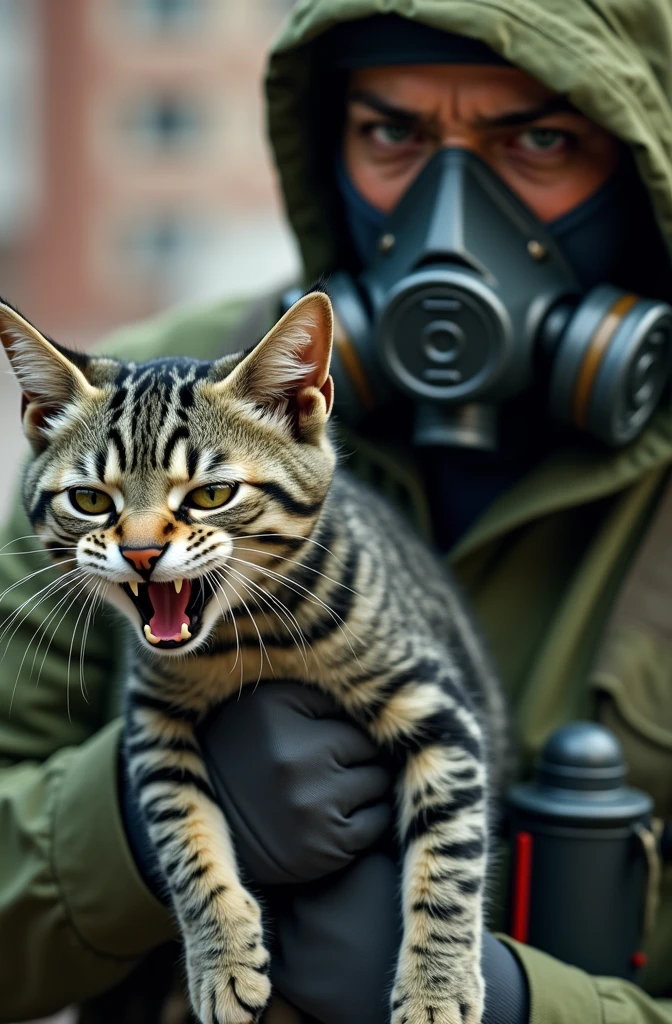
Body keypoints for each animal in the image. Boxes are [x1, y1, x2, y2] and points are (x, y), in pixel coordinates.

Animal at [0, 292, 504, 1019]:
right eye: (91, 500)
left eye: (211, 494)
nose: (142, 553)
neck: (246, 638)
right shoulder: (151, 728)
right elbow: (183, 839)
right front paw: (223, 961)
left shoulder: (438, 707)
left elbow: (451, 858)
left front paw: (436, 987)